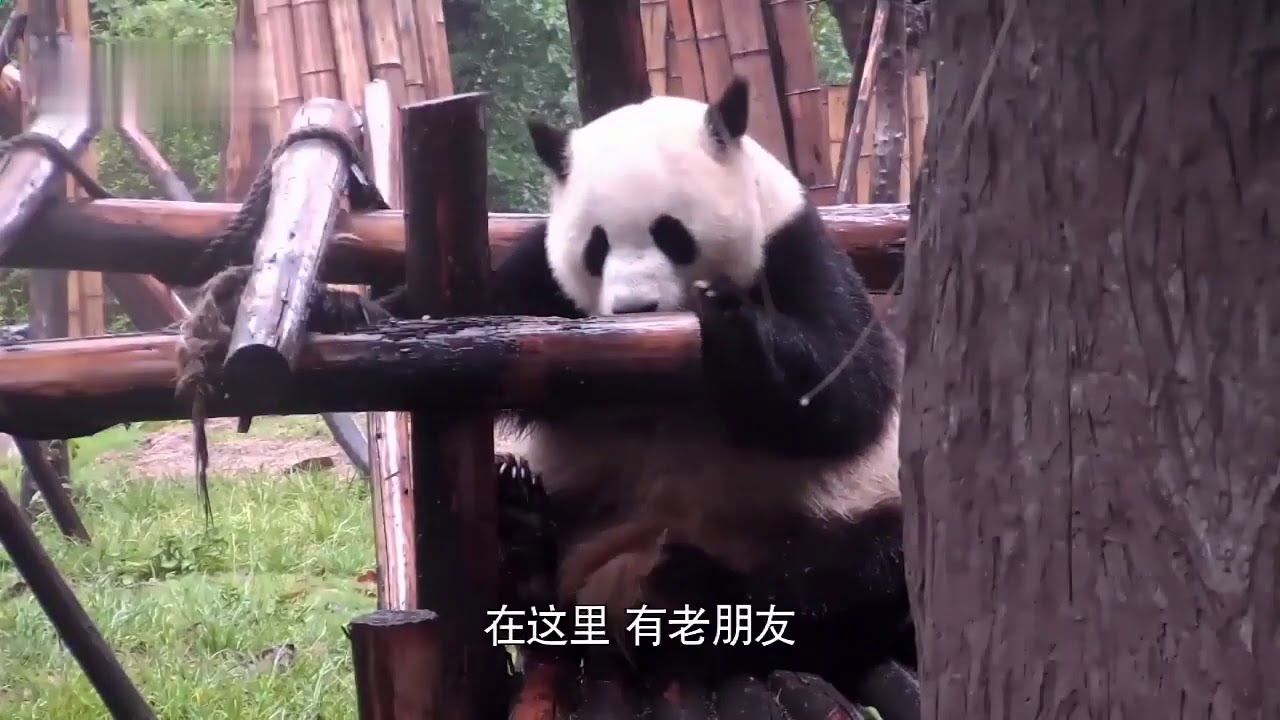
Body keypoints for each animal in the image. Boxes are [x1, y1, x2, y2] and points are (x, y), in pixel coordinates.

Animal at [481, 76, 918, 710]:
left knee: (857, 578)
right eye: (596, 246)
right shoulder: (538, 280)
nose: (634, 309)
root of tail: (609, 587)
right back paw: (524, 536)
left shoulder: (793, 250)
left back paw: (695, 587)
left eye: (671, 234)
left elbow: (847, 388)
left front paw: (729, 325)